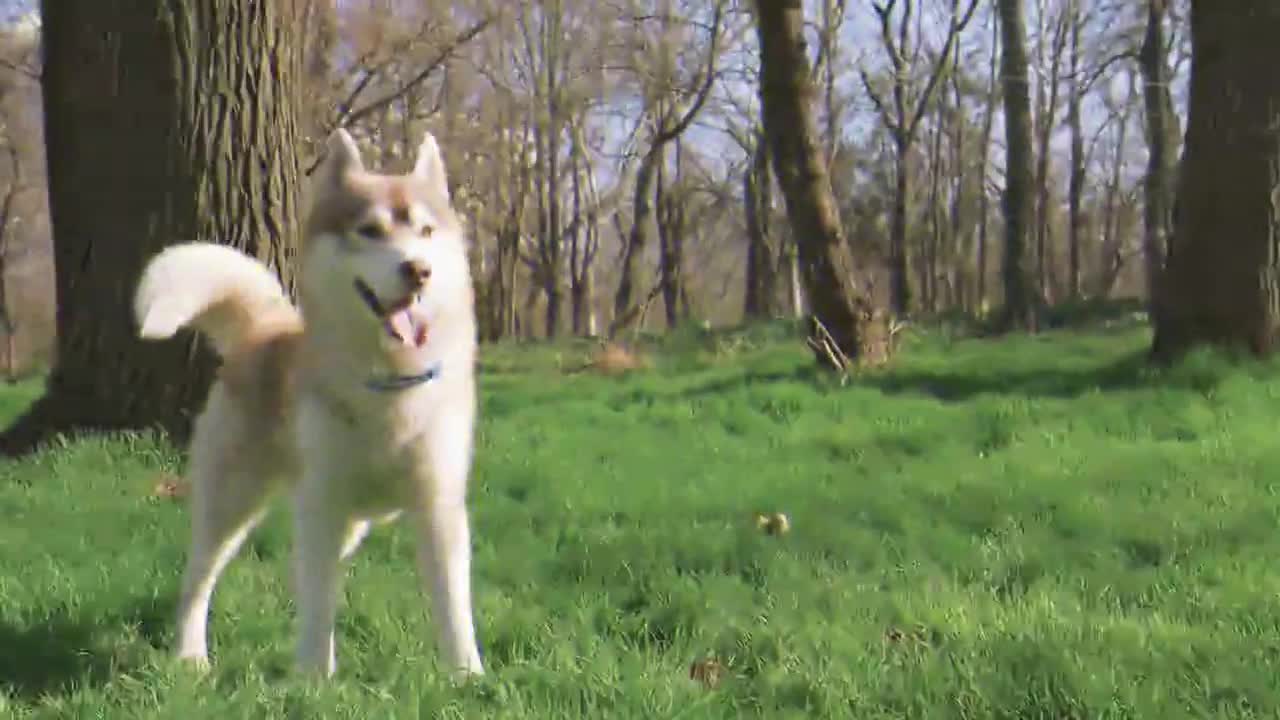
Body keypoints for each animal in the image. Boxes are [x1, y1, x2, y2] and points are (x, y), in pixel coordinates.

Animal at [133, 130, 483, 676]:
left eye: (426, 231)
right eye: (370, 230)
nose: (418, 270)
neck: (388, 380)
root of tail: (266, 327)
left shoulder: (439, 504)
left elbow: (453, 607)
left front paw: (468, 678)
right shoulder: (322, 501)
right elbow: (318, 604)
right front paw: (315, 679)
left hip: (340, 520)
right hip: (232, 501)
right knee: (199, 579)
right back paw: (190, 654)